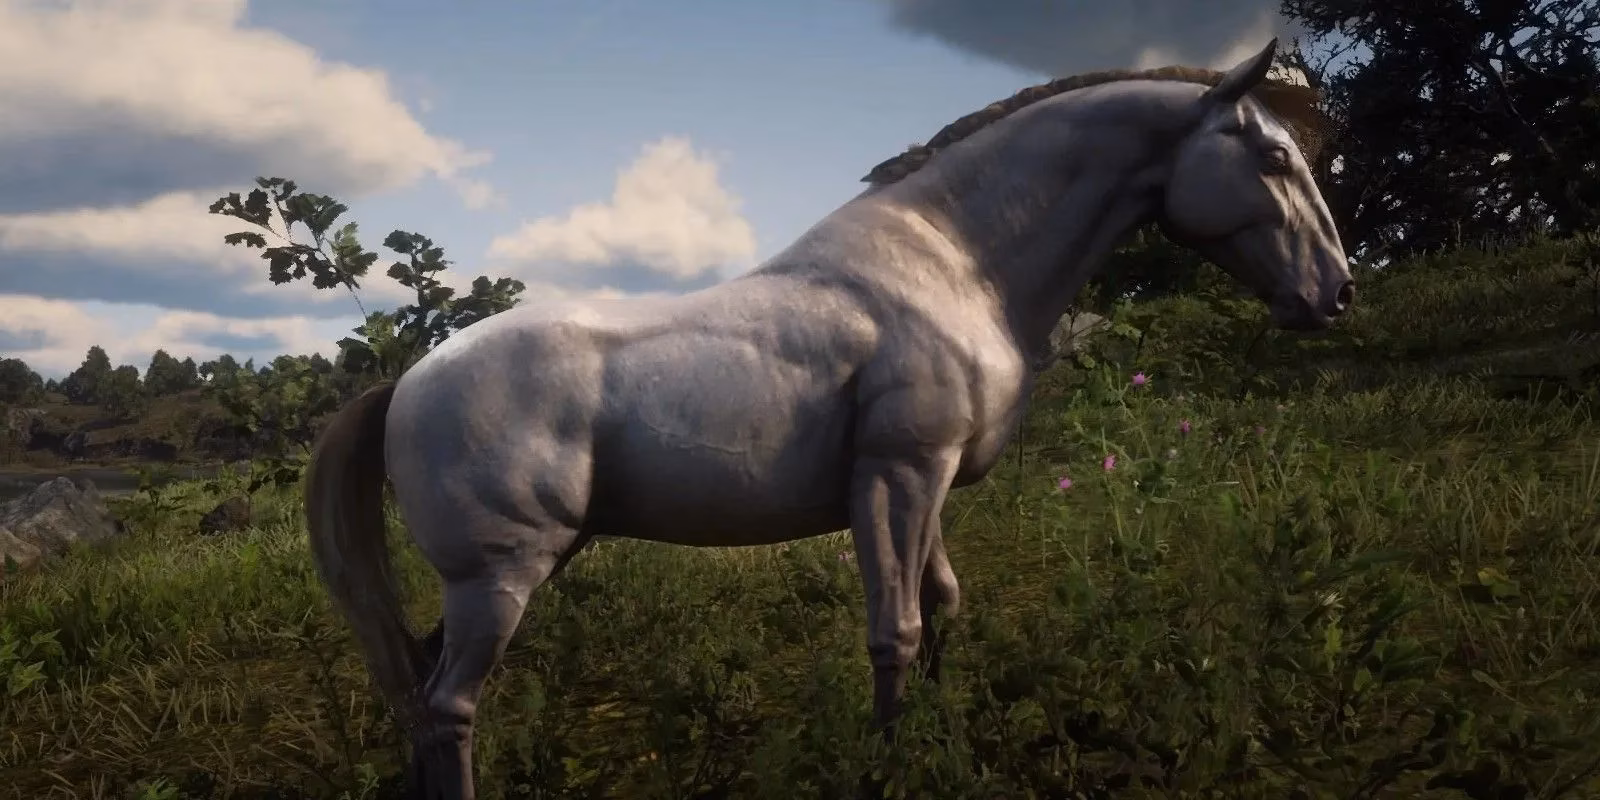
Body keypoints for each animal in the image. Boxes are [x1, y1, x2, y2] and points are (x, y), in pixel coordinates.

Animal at [305, 38, 1352, 799]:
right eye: (1272, 156)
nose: (1335, 293)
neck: (954, 264)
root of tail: (406, 384)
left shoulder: (925, 481)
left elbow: (942, 609)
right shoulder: (897, 474)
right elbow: (895, 631)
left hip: (504, 577)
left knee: (420, 690)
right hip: (500, 577)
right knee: (449, 706)